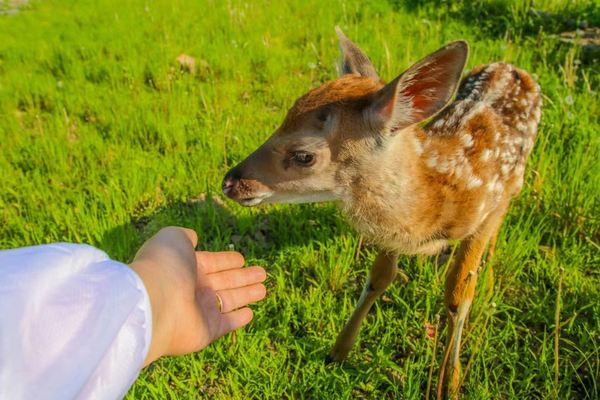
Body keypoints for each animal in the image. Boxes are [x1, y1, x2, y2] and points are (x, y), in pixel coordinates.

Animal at [223, 27, 540, 396]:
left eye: (304, 155)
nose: (230, 182)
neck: (438, 198)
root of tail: (511, 67)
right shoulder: (393, 237)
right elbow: (378, 279)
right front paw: (338, 351)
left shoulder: (485, 213)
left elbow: (458, 297)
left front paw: (450, 383)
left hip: (515, 183)